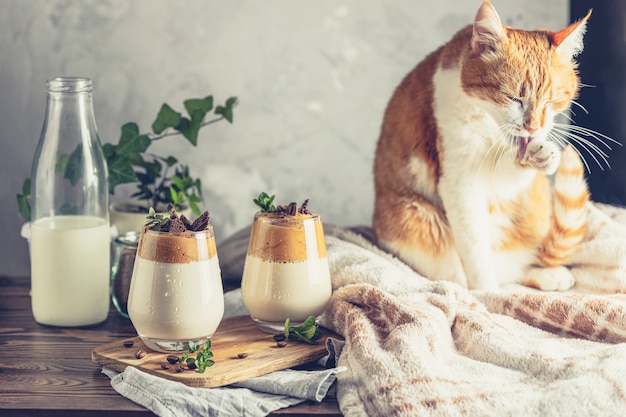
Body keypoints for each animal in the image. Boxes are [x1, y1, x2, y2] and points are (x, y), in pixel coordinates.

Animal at [372, 1, 592, 290]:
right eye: (513, 98)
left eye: (551, 100)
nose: (533, 127)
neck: (491, 131)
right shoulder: (459, 184)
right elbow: (476, 253)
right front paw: (489, 294)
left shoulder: (503, 180)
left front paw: (543, 156)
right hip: (410, 219)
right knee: (465, 272)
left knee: (514, 270)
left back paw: (548, 275)